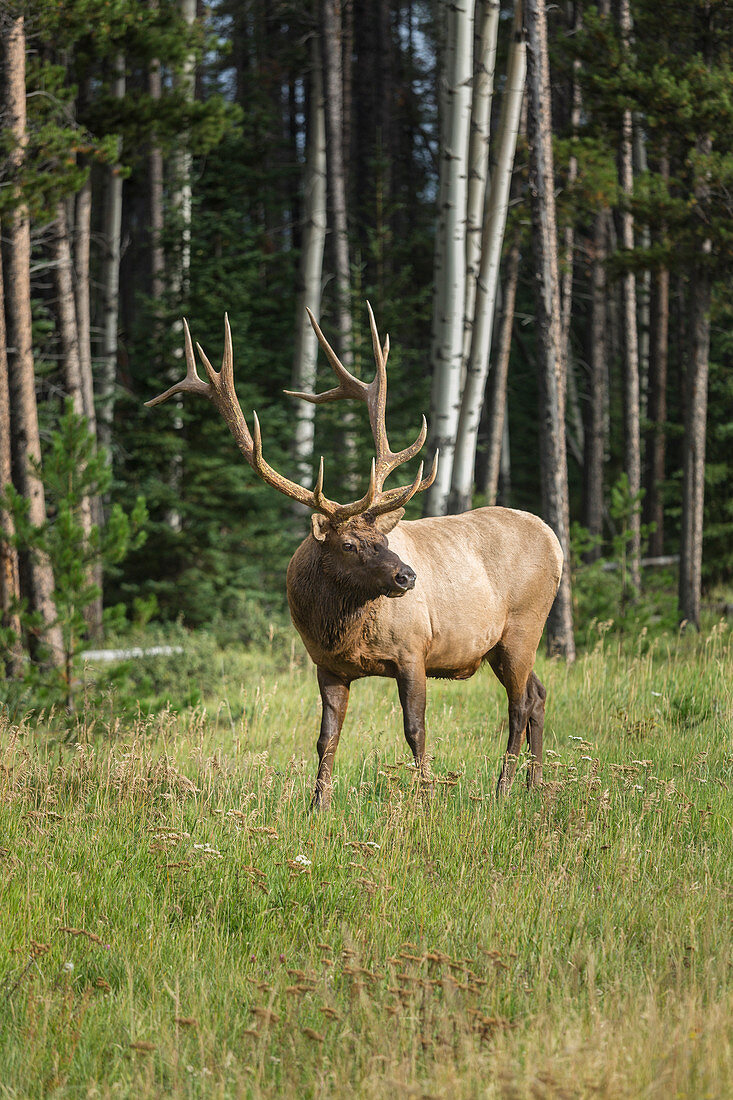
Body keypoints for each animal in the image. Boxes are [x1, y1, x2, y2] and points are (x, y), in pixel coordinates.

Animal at [145, 308, 561, 809]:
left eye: (383, 538)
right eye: (348, 545)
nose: (406, 577)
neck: (341, 631)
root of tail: (555, 540)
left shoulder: (414, 651)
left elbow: (416, 730)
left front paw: (425, 799)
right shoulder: (326, 666)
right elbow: (326, 738)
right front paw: (318, 806)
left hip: (523, 626)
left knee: (518, 705)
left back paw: (503, 790)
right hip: (504, 644)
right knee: (538, 694)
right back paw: (534, 786)